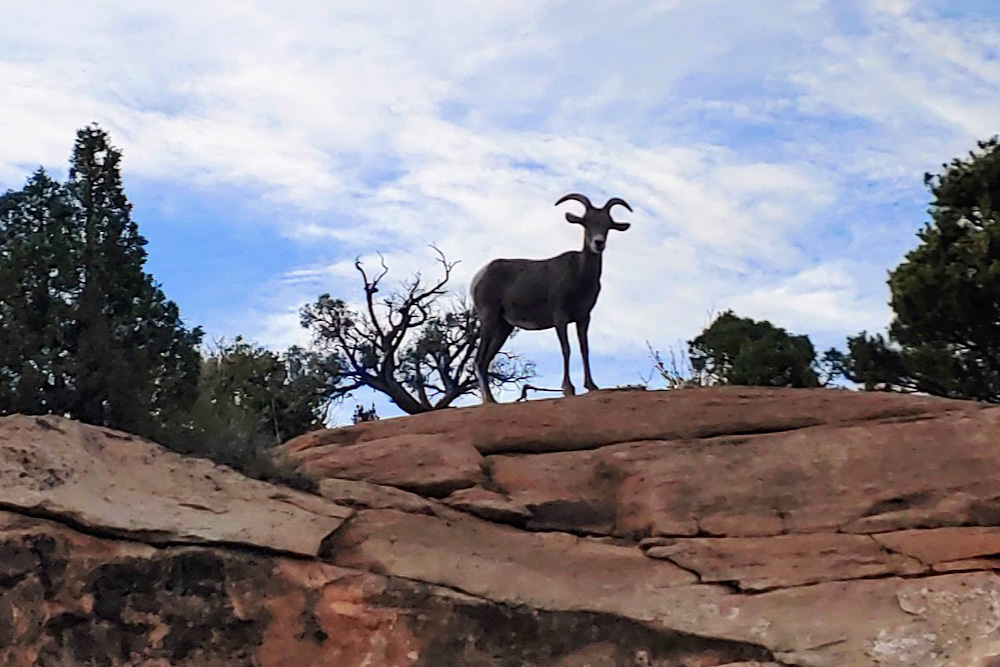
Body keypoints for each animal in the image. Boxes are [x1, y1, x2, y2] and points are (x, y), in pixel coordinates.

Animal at [471, 193, 632, 403]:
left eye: (607, 225)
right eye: (586, 223)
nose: (599, 243)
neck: (579, 276)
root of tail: (479, 276)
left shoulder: (583, 318)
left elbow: (584, 348)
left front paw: (591, 386)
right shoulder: (560, 317)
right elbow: (566, 348)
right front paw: (568, 388)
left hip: (504, 327)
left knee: (485, 361)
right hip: (489, 319)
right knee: (479, 360)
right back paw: (490, 401)